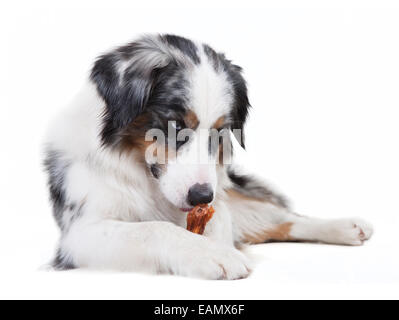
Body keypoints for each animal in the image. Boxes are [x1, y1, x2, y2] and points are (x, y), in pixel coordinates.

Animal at [43, 35, 372, 278]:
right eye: (175, 125)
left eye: (220, 131)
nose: (201, 196)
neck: (147, 181)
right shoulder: (79, 234)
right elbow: (154, 228)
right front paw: (211, 253)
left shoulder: (217, 201)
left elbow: (218, 220)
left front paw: (215, 245)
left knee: (282, 218)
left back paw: (346, 226)